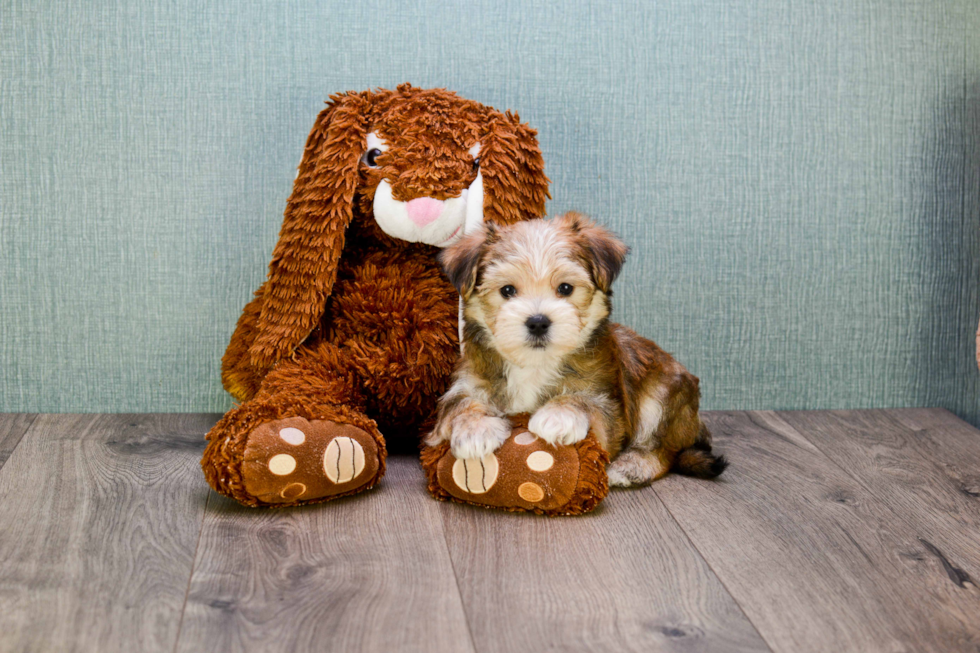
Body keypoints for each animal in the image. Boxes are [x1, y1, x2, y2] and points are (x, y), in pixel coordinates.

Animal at [428, 214, 728, 484]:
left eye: (565, 288)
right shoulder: (468, 380)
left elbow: (585, 402)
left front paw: (558, 415)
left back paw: (631, 467)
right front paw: (474, 429)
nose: (538, 322)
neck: (534, 364)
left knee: (662, 450)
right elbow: (458, 404)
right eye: (507, 291)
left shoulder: (608, 406)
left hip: (664, 392)